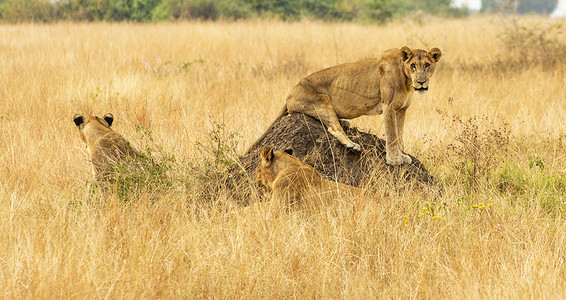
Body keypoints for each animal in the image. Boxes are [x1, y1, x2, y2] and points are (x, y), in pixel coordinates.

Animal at [250, 46, 444, 166]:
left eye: (427, 65)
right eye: (413, 65)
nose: (421, 81)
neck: (407, 80)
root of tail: (289, 94)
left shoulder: (401, 109)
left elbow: (399, 135)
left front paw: (402, 155)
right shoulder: (388, 106)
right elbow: (391, 134)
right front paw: (394, 159)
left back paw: (345, 123)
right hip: (320, 100)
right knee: (333, 128)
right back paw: (352, 145)